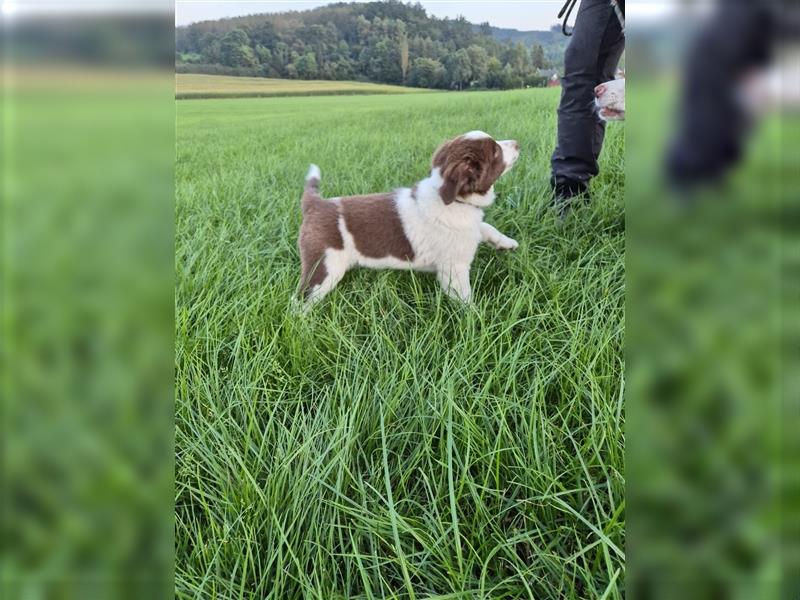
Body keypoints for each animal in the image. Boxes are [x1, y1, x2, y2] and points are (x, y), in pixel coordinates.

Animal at [296, 133, 520, 308]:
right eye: (496, 152)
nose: (518, 143)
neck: (454, 199)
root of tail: (315, 203)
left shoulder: (469, 230)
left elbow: (485, 226)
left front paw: (506, 243)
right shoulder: (453, 269)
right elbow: (464, 298)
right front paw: (476, 319)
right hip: (323, 266)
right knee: (301, 299)